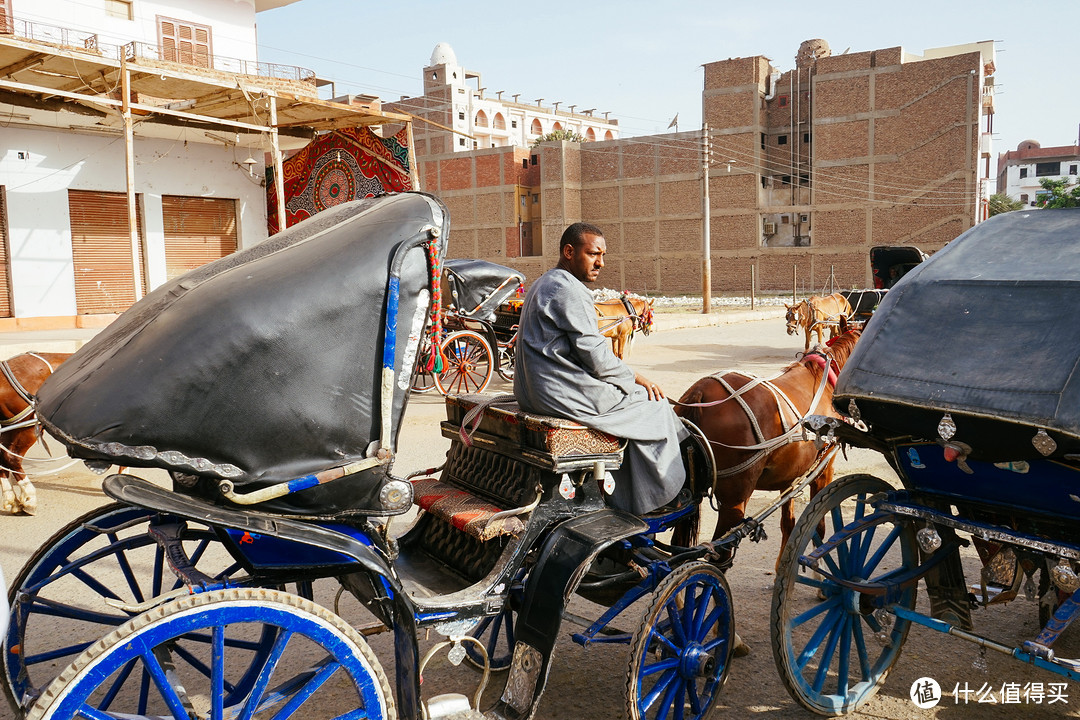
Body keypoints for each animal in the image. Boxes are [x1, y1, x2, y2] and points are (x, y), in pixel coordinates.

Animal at [673, 328, 859, 569]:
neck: (823, 379)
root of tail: (699, 393)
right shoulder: (824, 466)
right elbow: (819, 526)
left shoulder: (790, 476)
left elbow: (788, 523)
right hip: (735, 500)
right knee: (718, 558)